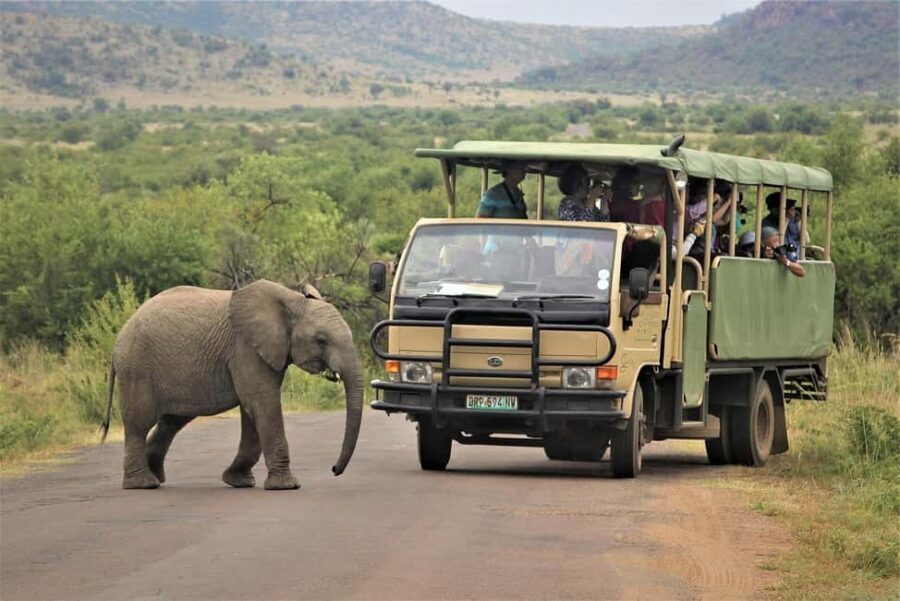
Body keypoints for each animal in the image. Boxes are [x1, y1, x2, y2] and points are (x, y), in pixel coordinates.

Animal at [100, 279, 363, 490]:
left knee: (172, 421)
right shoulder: (245, 348)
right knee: (139, 423)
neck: (292, 300)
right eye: (321, 340)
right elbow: (262, 403)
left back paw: (156, 477)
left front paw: (238, 481)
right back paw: (143, 484)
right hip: (136, 368)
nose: (333, 469)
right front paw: (287, 486)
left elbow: (253, 412)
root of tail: (117, 339)